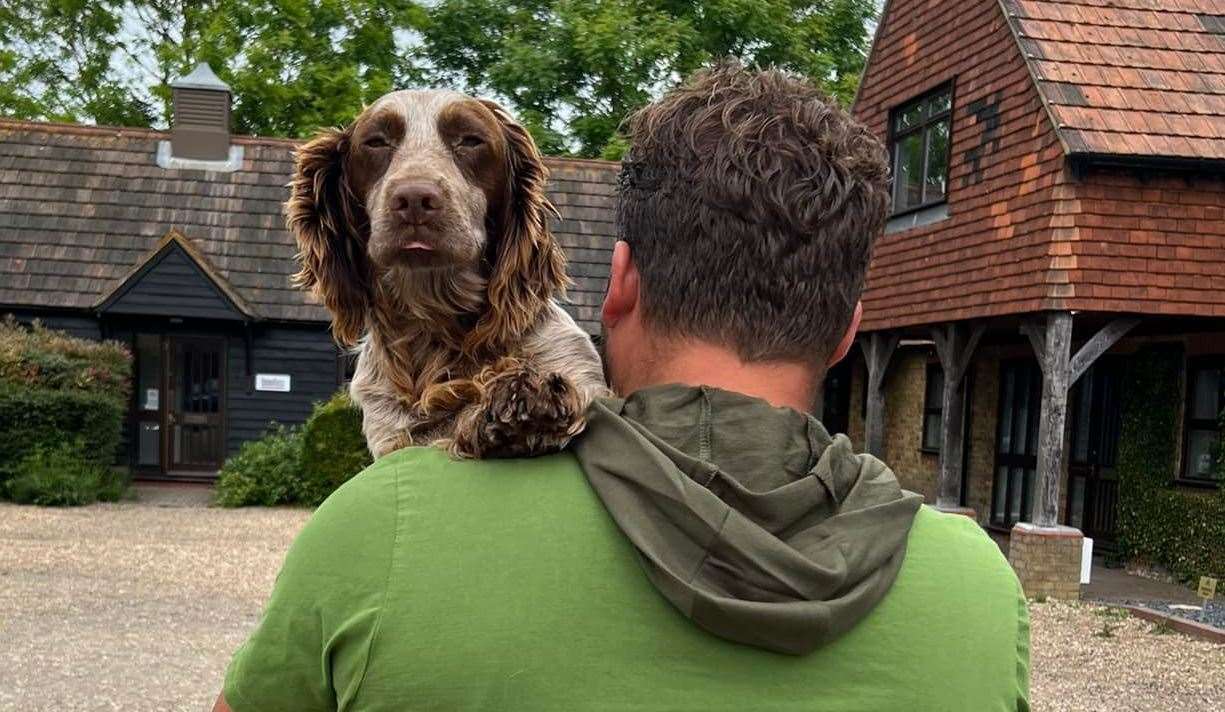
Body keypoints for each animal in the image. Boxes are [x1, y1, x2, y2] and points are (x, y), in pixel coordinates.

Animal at [287, 88, 612, 458]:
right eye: (376, 142)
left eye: (471, 140)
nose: (414, 198)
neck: (437, 321)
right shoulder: (393, 435)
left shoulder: (576, 367)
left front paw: (527, 402)